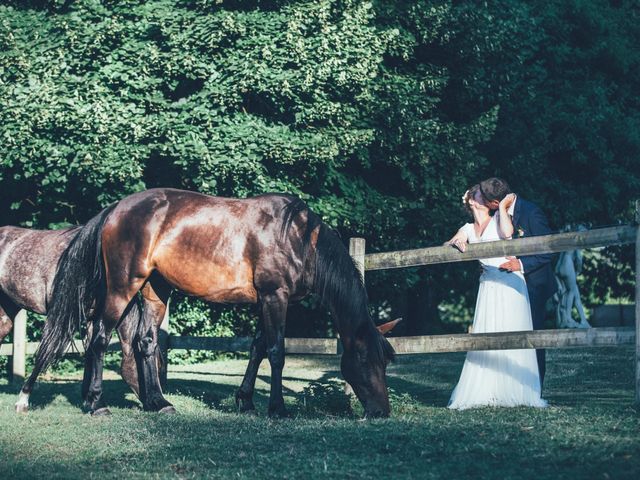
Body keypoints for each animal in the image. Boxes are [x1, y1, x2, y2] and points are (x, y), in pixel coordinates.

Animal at [0, 225, 170, 412]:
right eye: (153, 367)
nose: (158, 404)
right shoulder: (65, 318)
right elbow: (45, 353)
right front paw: (23, 399)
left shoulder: (93, 318)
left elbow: (90, 352)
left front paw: (90, 400)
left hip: (7, 311)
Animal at [22, 188, 398, 416]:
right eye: (364, 359)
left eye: (386, 361)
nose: (381, 411)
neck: (297, 237)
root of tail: (115, 209)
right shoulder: (275, 296)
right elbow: (276, 351)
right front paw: (277, 408)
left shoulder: (266, 300)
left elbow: (257, 348)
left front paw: (246, 401)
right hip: (122, 286)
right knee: (99, 337)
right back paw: (95, 403)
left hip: (155, 289)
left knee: (145, 342)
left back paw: (158, 402)